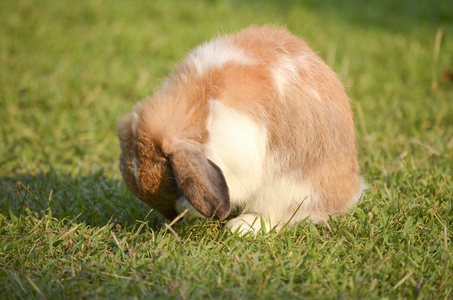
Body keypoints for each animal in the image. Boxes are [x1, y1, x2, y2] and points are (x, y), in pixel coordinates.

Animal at [117, 25, 364, 234]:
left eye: (171, 182)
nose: (170, 217)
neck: (200, 107)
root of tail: (350, 192)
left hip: (288, 190)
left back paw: (241, 227)